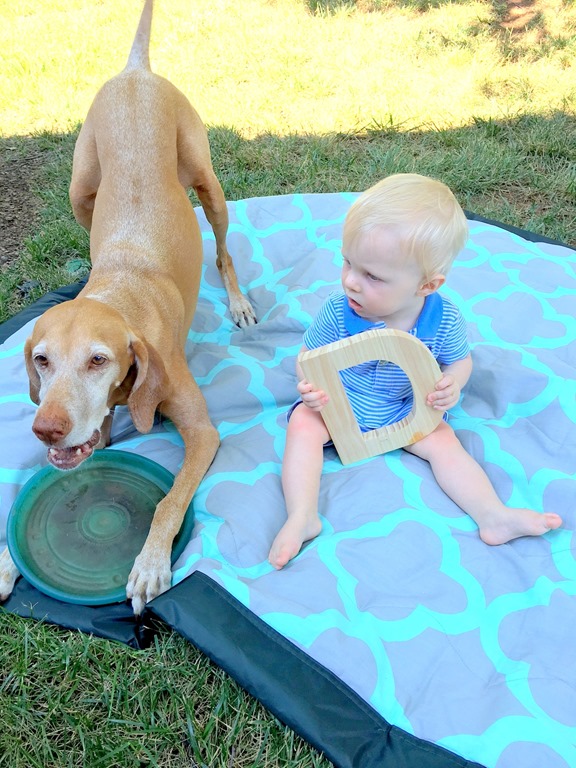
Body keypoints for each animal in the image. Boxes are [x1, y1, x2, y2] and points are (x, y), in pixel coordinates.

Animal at [0, 0, 256, 614]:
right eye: (40, 360)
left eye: (99, 360)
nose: (45, 428)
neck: (117, 296)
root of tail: (135, 72)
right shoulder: (91, 435)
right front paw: (3, 560)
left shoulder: (203, 432)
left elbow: (168, 501)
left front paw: (149, 563)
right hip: (80, 192)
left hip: (208, 182)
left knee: (224, 248)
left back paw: (238, 301)